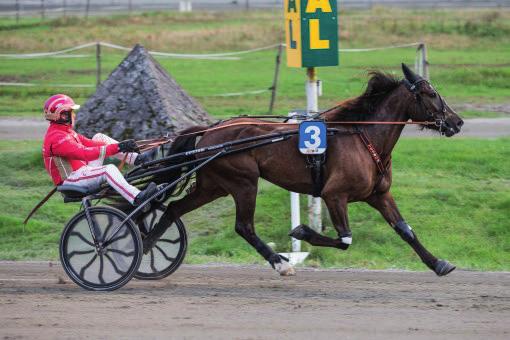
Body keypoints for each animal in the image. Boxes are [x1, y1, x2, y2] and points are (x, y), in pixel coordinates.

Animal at [142, 64, 462, 276]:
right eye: (431, 93)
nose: (457, 122)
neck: (363, 137)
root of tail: (210, 131)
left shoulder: (379, 194)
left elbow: (405, 230)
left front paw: (438, 263)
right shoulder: (335, 195)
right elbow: (345, 239)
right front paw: (302, 231)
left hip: (214, 186)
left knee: (174, 209)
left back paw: (145, 247)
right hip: (244, 182)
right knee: (244, 226)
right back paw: (280, 263)